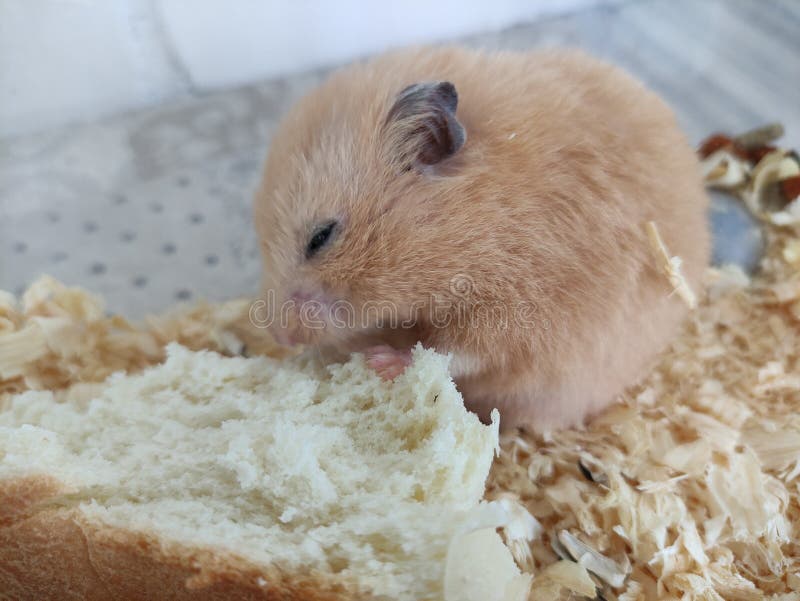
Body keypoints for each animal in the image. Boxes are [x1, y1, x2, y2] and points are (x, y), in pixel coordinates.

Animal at [253, 46, 709, 432]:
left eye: (321, 237)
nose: (279, 337)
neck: (480, 213)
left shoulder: (521, 317)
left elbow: (456, 352)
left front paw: (381, 361)